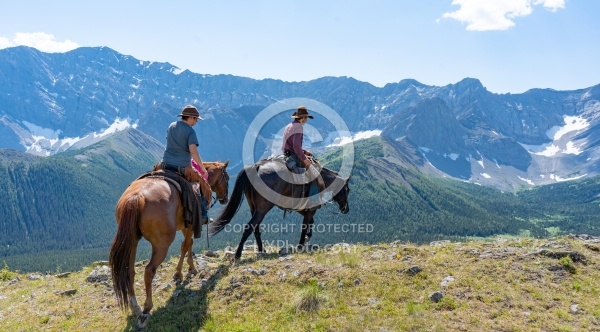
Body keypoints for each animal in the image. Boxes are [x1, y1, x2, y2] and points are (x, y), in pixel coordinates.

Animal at [108, 161, 230, 326]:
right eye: (227, 178)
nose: (225, 199)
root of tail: (137, 197)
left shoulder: (185, 226)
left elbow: (189, 244)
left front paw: (190, 268)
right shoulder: (191, 225)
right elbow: (186, 245)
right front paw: (179, 273)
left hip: (132, 241)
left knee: (129, 271)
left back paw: (135, 307)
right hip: (161, 245)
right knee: (149, 270)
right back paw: (146, 308)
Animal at [207, 160, 350, 260]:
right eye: (347, 190)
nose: (346, 209)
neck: (322, 181)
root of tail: (257, 167)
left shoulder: (303, 210)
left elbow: (310, 223)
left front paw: (307, 239)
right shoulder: (310, 210)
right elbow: (305, 226)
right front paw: (300, 245)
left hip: (255, 209)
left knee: (256, 228)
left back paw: (261, 250)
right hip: (262, 210)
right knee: (249, 227)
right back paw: (238, 254)